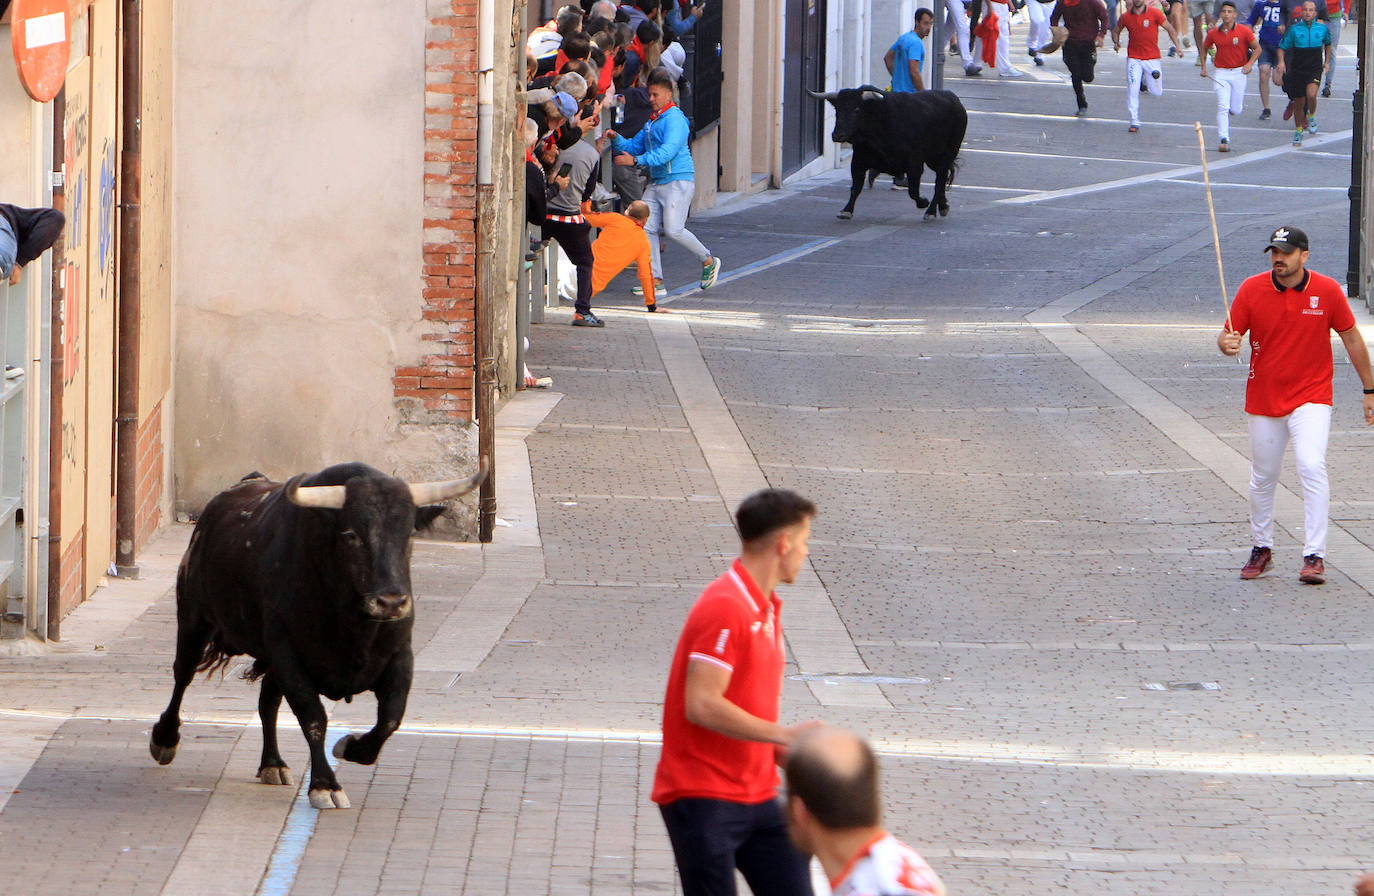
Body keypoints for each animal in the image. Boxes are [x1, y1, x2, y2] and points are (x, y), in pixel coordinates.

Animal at [150, 458, 489, 808]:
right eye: (351, 534)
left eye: (409, 534)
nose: (391, 602)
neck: (354, 625)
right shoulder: (289, 655)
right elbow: (313, 718)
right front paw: (325, 785)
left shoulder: (400, 657)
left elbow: (390, 718)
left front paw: (352, 747)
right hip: (194, 620)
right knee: (182, 675)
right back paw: (164, 740)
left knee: (267, 701)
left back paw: (272, 763)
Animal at [807, 86, 972, 222]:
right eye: (838, 110)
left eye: (857, 109)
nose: (837, 135)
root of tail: (954, 99)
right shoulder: (858, 161)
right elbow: (856, 187)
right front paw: (846, 211)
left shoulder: (914, 164)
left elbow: (913, 190)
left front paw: (923, 202)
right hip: (933, 158)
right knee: (942, 177)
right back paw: (943, 206)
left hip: (948, 153)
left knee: (940, 180)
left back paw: (931, 212)